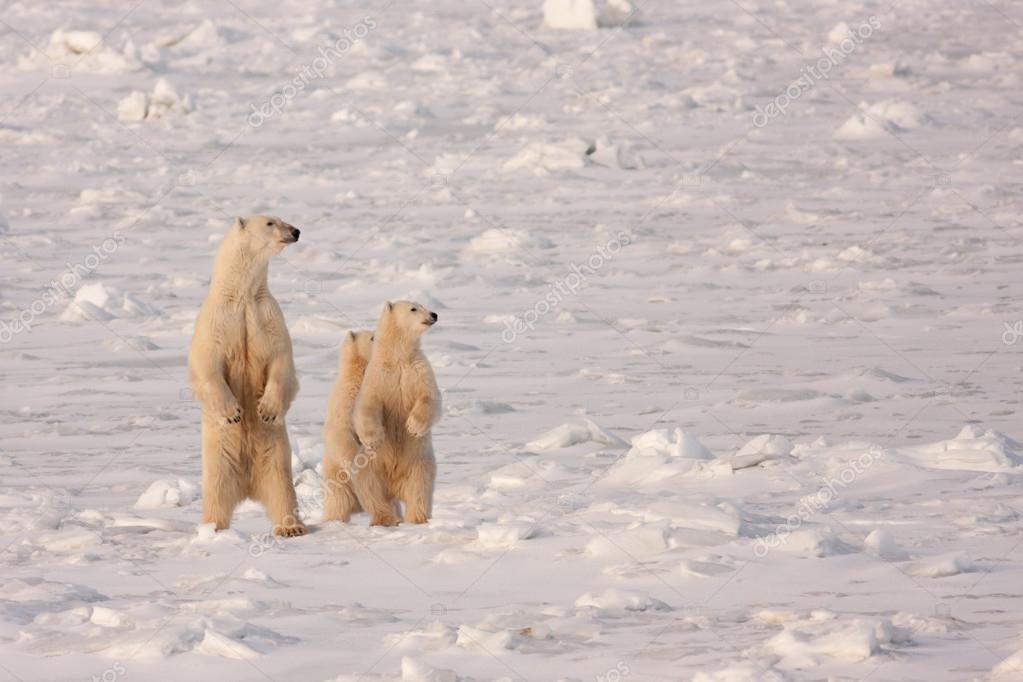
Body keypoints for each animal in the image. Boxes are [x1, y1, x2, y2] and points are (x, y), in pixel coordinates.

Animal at [188, 215, 304, 535]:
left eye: (283, 219)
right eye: (271, 222)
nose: (295, 231)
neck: (242, 295)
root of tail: (249, 487)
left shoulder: (268, 317)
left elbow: (281, 362)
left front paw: (266, 410)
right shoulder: (217, 320)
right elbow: (207, 364)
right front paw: (233, 413)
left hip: (276, 452)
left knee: (281, 487)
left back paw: (291, 526)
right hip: (219, 456)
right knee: (216, 493)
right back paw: (213, 527)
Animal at [351, 300, 439, 527]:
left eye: (422, 305)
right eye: (414, 308)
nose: (434, 314)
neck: (399, 356)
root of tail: (395, 488)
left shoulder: (418, 371)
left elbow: (429, 397)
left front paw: (413, 427)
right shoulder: (379, 376)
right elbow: (368, 404)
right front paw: (375, 439)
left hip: (419, 464)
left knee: (419, 490)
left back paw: (416, 518)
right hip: (370, 467)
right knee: (371, 490)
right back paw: (384, 519)